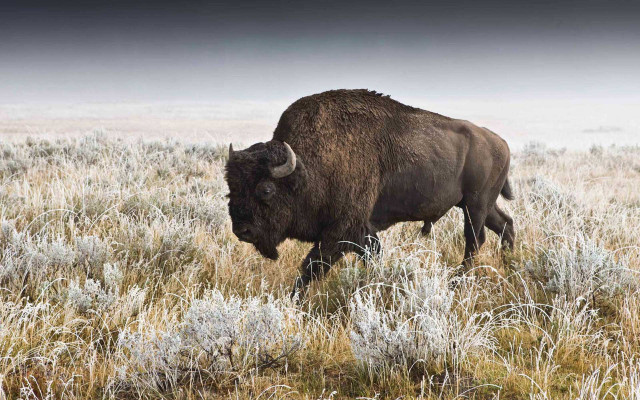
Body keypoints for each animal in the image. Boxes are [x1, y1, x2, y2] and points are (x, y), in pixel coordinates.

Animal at [225, 89, 514, 297]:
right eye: (230, 189)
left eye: (266, 189)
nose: (242, 230)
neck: (308, 168)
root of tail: (501, 142)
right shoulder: (361, 232)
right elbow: (369, 256)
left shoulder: (340, 232)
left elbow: (312, 267)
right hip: (478, 205)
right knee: (505, 225)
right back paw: (510, 266)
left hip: (475, 205)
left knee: (475, 240)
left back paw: (457, 282)